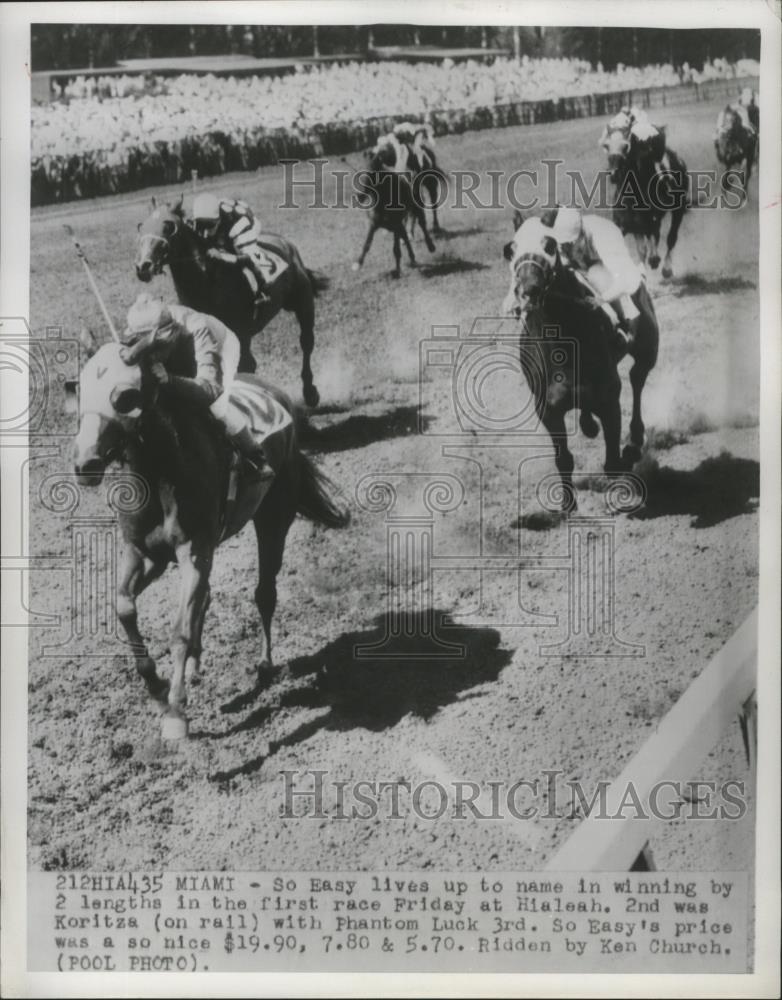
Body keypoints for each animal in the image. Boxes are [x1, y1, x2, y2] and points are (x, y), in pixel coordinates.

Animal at [73, 340, 350, 740]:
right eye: (78, 390)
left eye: (124, 396)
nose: (85, 464)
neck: (162, 471)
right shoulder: (145, 552)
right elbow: (124, 607)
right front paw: (156, 687)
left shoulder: (193, 550)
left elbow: (179, 631)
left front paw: (175, 711)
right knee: (206, 597)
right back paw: (194, 667)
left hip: (273, 519)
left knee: (264, 593)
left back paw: (263, 664)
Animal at [136, 195, 326, 406]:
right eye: (141, 227)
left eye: (169, 226)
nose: (143, 266)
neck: (206, 283)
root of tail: (286, 243)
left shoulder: (240, 333)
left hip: (303, 302)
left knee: (306, 342)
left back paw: (310, 392)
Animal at [354, 137, 438, 278]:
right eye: (359, 172)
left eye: (373, 173)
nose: (359, 196)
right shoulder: (374, 224)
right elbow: (367, 243)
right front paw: (357, 263)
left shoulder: (396, 224)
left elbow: (396, 249)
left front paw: (397, 271)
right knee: (406, 235)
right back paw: (412, 258)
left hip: (416, 209)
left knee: (422, 224)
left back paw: (430, 246)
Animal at [506, 211, 660, 508]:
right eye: (511, 249)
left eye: (549, 245)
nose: (528, 289)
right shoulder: (547, 410)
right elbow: (563, 458)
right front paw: (567, 504)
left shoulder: (609, 399)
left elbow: (612, 461)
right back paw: (589, 425)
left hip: (648, 348)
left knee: (637, 378)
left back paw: (634, 442)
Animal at [608, 128, 688, 282]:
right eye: (606, 146)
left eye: (626, 147)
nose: (614, 174)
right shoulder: (625, 224)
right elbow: (640, 248)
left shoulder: (650, 220)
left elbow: (653, 237)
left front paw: (654, 261)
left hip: (678, 210)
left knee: (671, 237)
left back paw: (666, 268)